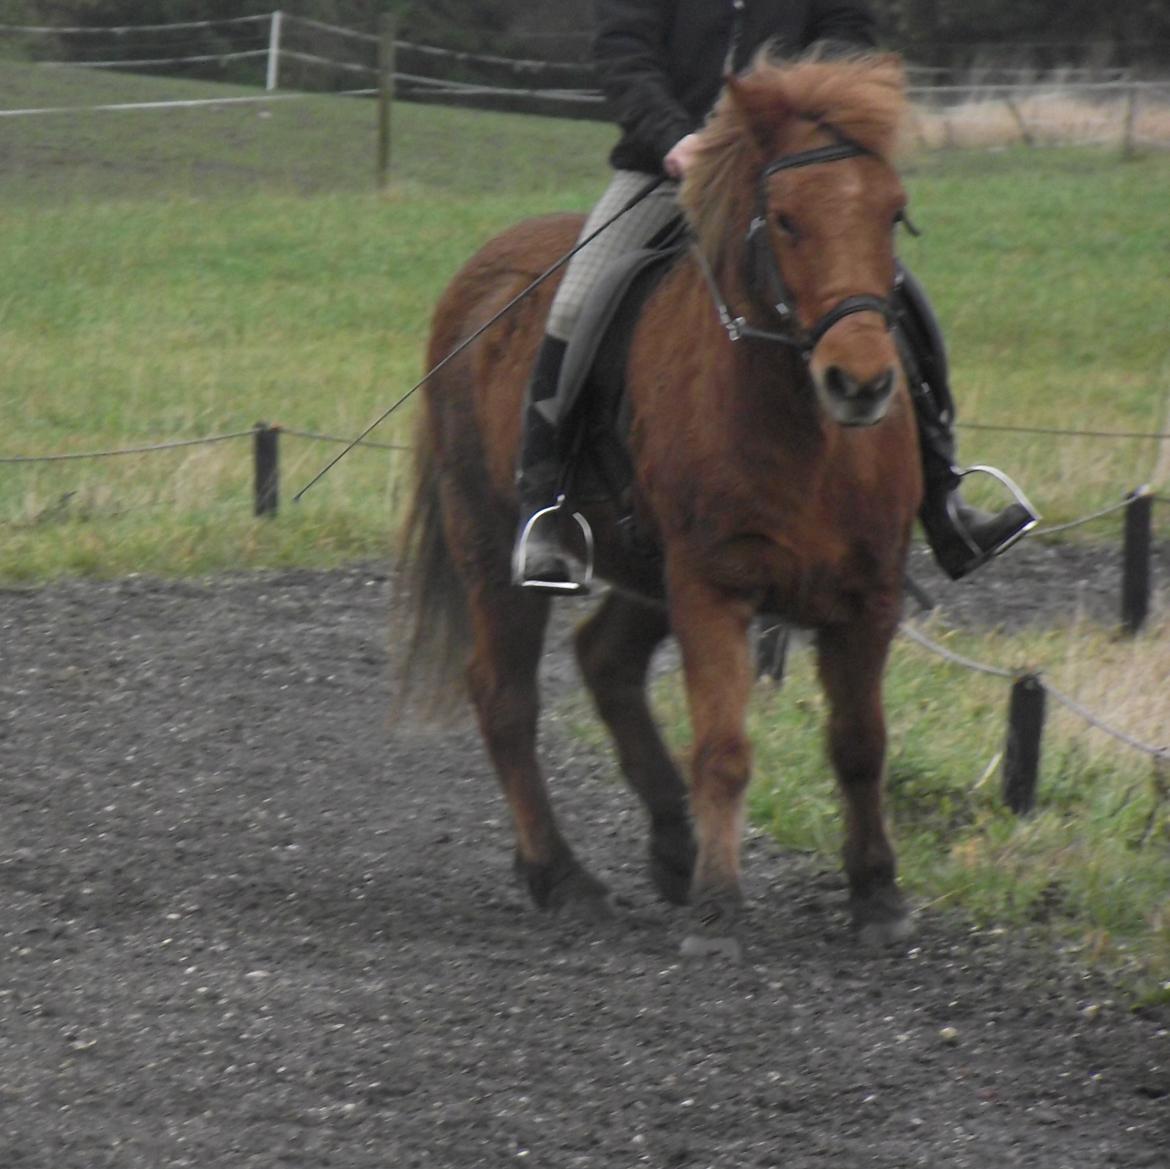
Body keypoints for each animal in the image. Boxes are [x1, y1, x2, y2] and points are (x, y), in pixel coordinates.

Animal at [402, 52, 921, 950]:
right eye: (785, 219)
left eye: (892, 212)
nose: (860, 383)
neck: (809, 436)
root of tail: (484, 268)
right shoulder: (712, 584)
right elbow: (723, 745)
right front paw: (720, 900)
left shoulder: (870, 593)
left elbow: (860, 743)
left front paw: (876, 892)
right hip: (496, 545)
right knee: (506, 698)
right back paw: (563, 875)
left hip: (647, 567)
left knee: (603, 656)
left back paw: (671, 841)